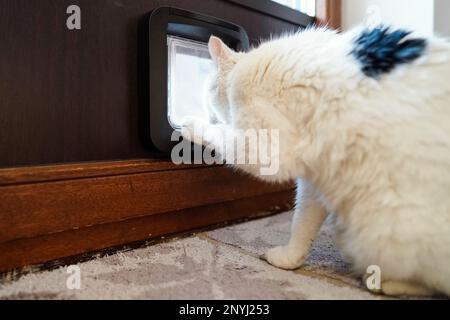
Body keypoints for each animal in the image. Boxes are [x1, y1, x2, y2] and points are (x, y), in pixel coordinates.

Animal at [181, 26, 450, 298]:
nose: (206, 112)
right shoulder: (315, 179)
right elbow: (303, 221)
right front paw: (290, 259)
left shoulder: (263, 146)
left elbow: (223, 135)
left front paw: (191, 124)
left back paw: (383, 282)